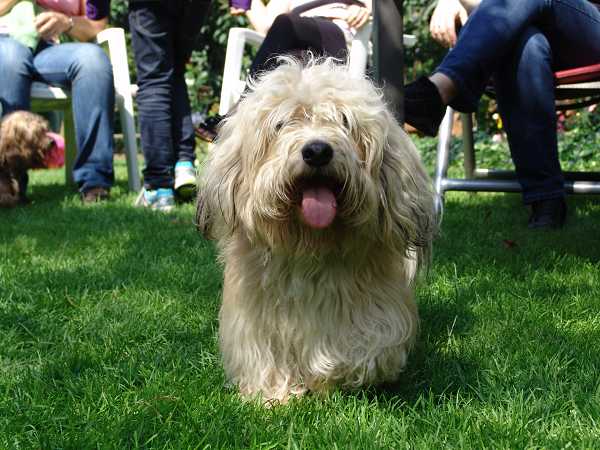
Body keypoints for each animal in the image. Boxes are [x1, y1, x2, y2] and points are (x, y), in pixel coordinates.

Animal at [197, 58, 437, 403]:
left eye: (344, 122)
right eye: (281, 124)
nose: (317, 151)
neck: (311, 247)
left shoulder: (374, 308)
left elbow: (363, 343)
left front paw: (331, 373)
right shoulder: (256, 318)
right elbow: (265, 353)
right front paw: (274, 395)